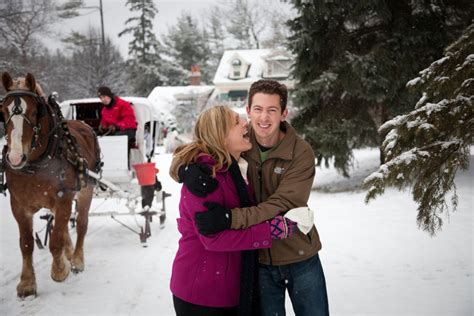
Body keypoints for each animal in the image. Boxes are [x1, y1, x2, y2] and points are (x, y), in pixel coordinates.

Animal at [1, 73, 101, 298]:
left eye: (33, 111)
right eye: (3, 110)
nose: (15, 157)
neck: (36, 163)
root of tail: (84, 124)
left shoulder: (63, 198)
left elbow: (55, 241)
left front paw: (60, 270)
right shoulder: (19, 205)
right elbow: (27, 243)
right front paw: (27, 284)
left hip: (86, 191)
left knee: (80, 224)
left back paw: (77, 260)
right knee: (60, 226)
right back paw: (69, 254)